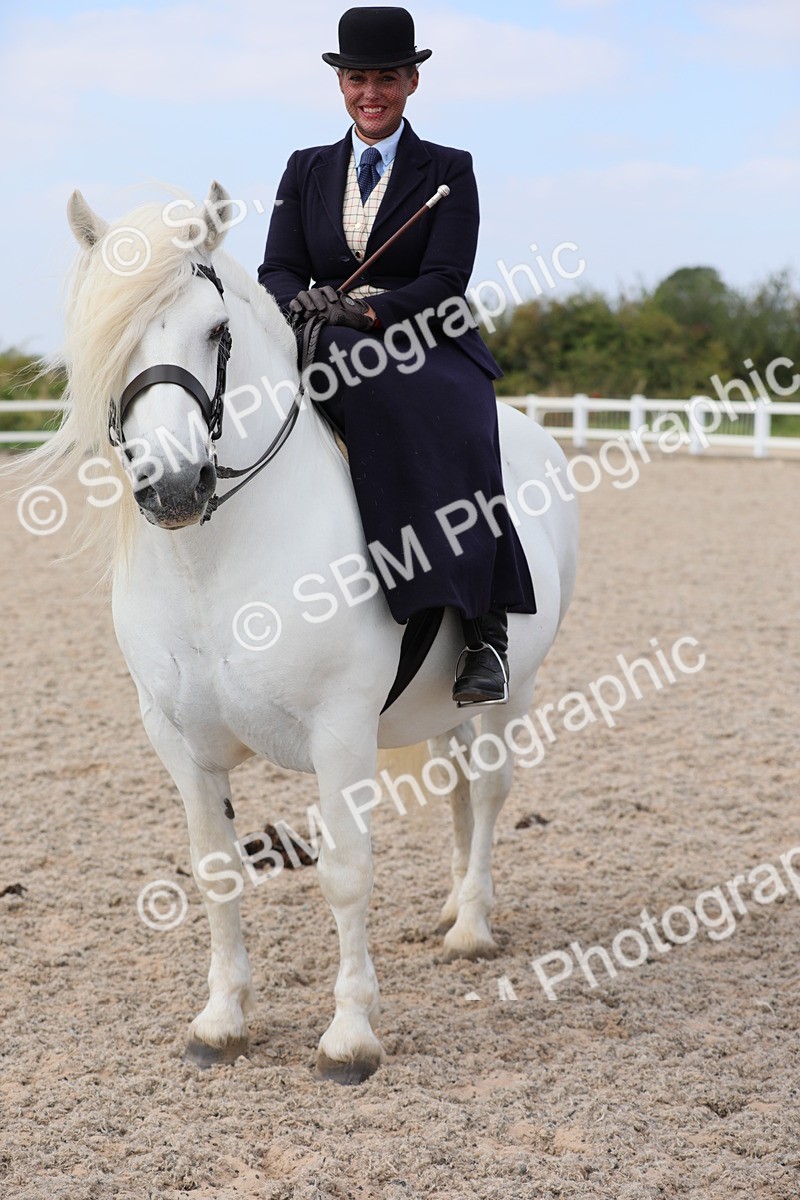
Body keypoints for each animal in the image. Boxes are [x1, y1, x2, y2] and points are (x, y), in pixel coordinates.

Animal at [15, 182, 578, 1083]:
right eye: (108, 339)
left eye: (217, 331)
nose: (174, 487)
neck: (213, 563)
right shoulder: (178, 740)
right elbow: (215, 870)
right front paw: (221, 1021)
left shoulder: (340, 733)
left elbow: (345, 874)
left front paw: (349, 1037)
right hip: (446, 709)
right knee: (458, 787)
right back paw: (451, 906)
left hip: (512, 691)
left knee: (490, 790)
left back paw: (473, 926)